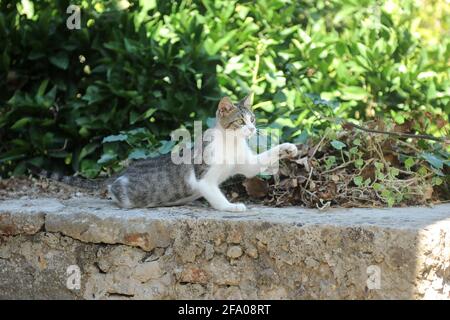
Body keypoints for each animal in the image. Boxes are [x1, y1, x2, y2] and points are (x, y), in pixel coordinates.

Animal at [32, 94, 298, 211]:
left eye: (252, 119)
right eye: (241, 121)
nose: (252, 129)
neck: (231, 144)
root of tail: (125, 169)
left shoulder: (247, 164)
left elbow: (259, 162)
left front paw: (288, 148)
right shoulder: (203, 179)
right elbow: (216, 196)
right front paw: (231, 207)